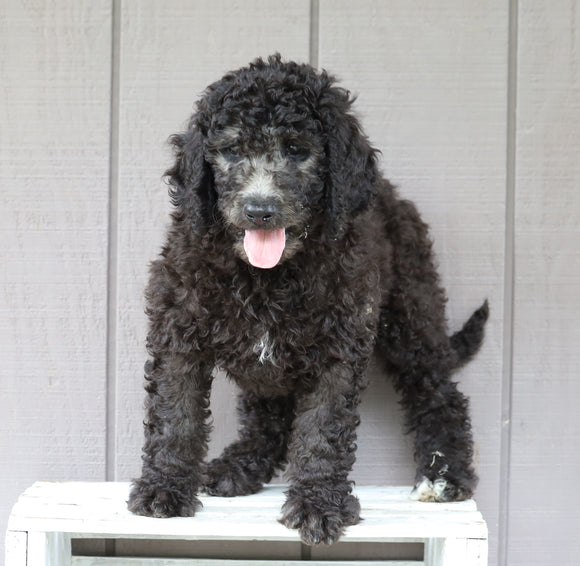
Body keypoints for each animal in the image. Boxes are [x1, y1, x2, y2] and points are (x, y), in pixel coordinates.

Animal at [128, 54, 490, 544]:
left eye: (298, 150)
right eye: (232, 150)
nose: (260, 211)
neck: (267, 275)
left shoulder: (339, 344)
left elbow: (323, 429)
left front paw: (319, 504)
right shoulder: (178, 330)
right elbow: (175, 413)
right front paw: (163, 487)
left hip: (410, 314)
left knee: (438, 391)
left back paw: (444, 476)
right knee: (269, 416)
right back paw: (238, 467)